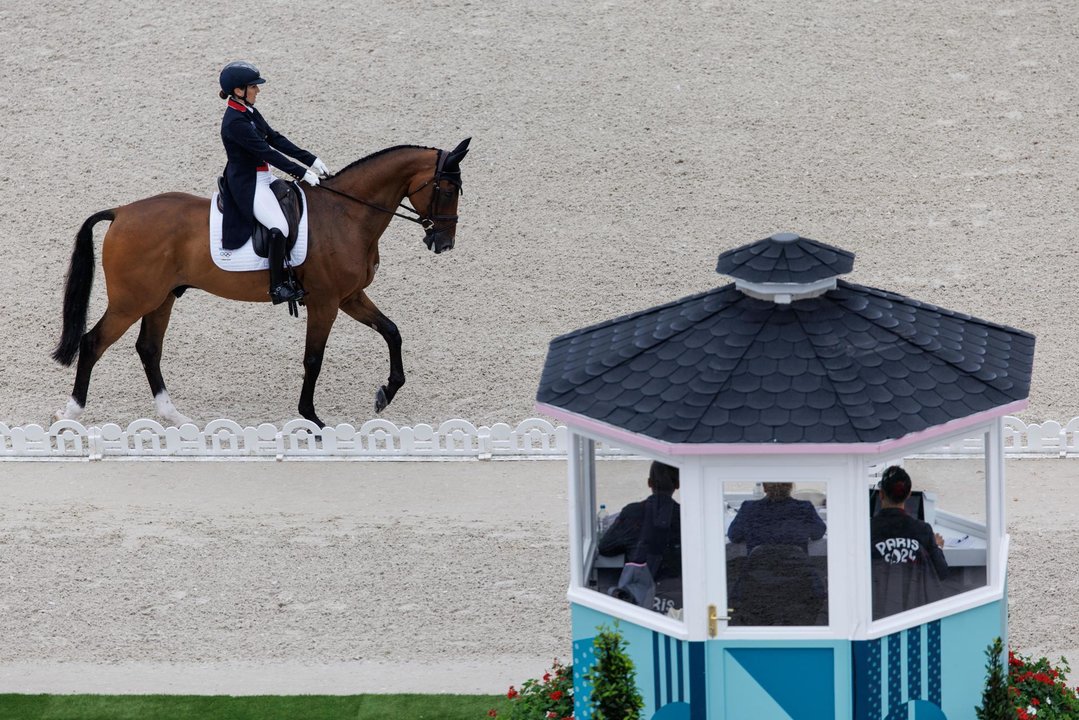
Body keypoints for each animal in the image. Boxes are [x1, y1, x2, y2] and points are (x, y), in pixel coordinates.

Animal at [52, 138, 470, 425]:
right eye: (447, 190)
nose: (444, 243)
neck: (346, 215)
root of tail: (121, 212)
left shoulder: (350, 296)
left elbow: (392, 332)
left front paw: (386, 393)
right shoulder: (326, 302)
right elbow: (314, 358)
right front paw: (311, 417)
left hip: (161, 298)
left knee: (148, 349)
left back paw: (175, 417)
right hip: (132, 301)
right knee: (93, 343)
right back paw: (70, 415)